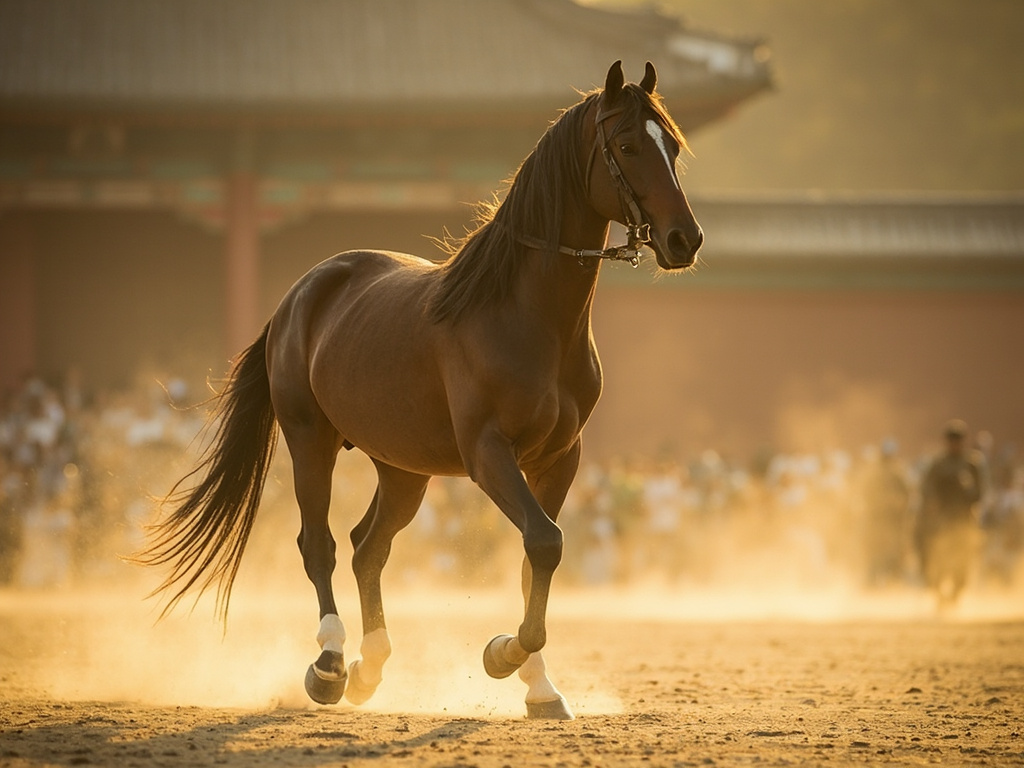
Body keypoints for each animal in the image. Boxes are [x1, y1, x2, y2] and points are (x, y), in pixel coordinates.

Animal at [137, 60, 702, 720]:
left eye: (673, 147)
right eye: (629, 145)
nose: (685, 239)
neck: (527, 317)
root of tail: (299, 295)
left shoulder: (561, 458)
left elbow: (536, 557)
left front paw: (539, 686)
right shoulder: (488, 453)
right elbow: (544, 541)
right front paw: (502, 655)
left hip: (403, 468)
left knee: (367, 548)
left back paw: (370, 667)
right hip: (310, 440)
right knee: (320, 545)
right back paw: (330, 664)